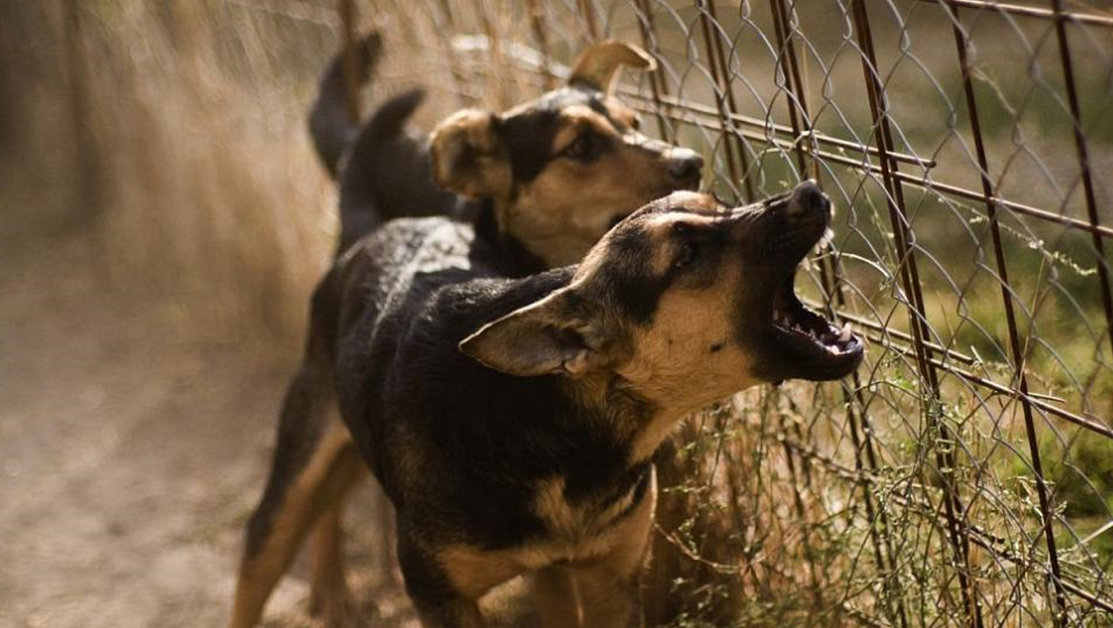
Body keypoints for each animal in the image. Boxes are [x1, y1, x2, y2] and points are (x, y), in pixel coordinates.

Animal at [230, 177, 863, 628]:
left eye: (720, 204)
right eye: (685, 254)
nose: (811, 192)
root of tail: (376, 230)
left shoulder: (611, 577)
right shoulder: (438, 596)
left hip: (552, 576)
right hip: (292, 478)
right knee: (261, 558)